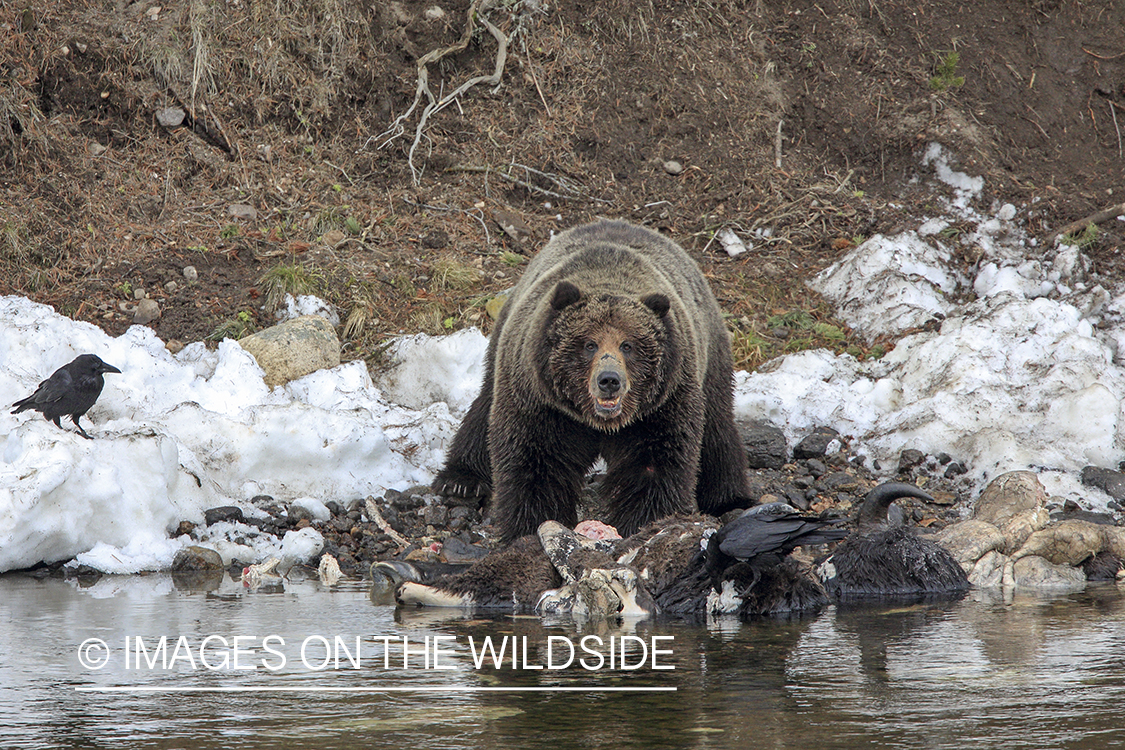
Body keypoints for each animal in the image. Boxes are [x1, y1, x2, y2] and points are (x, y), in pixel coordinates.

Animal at [434, 220, 751, 541]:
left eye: (628, 345)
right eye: (589, 344)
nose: (609, 380)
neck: (596, 421)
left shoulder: (661, 407)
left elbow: (657, 463)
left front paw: (649, 521)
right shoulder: (541, 401)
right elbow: (535, 462)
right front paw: (529, 526)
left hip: (709, 354)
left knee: (717, 427)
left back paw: (731, 499)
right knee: (484, 405)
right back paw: (460, 480)